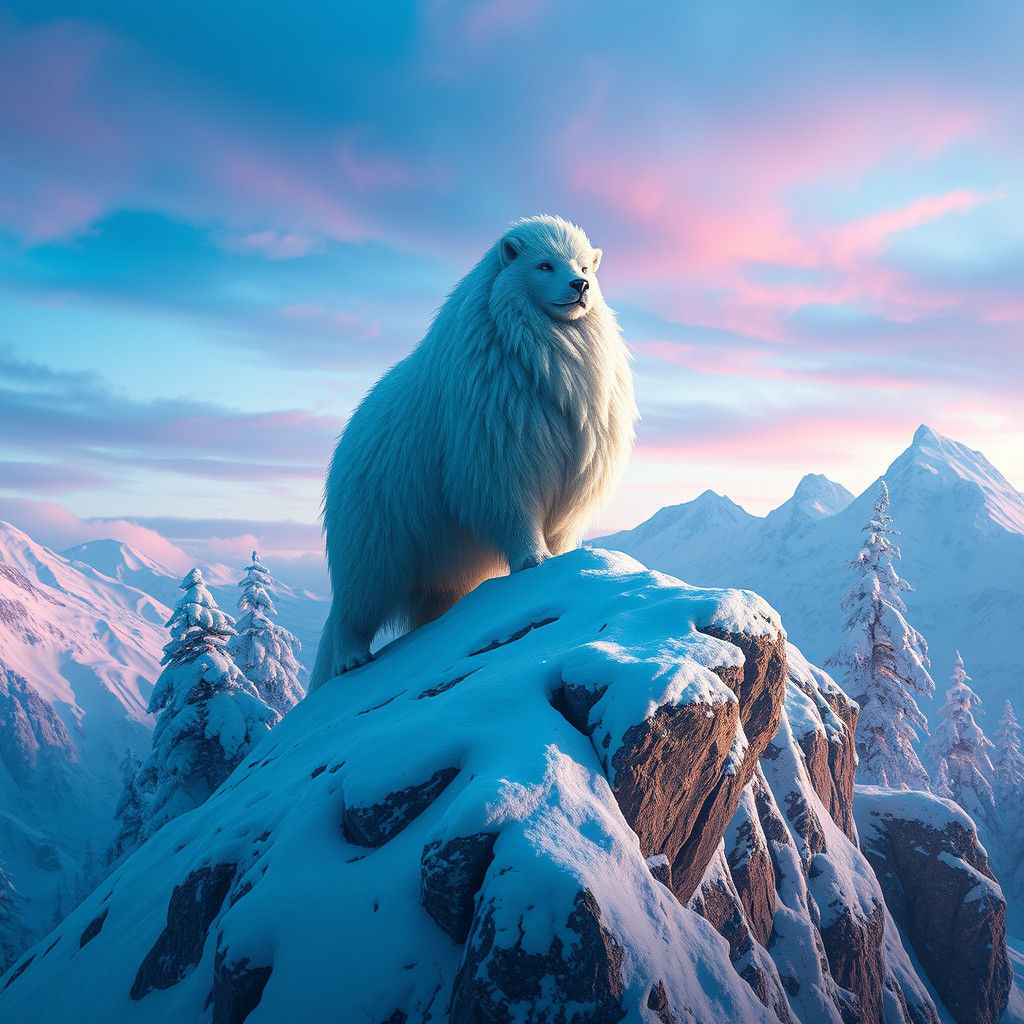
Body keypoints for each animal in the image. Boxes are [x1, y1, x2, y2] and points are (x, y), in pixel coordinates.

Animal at [308, 215, 637, 690]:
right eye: (544, 264)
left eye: (584, 266)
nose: (580, 286)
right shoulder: (492, 451)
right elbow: (511, 507)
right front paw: (534, 560)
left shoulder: (575, 469)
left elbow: (561, 525)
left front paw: (561, 559)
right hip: (377, 529)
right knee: (357, 600)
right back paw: (351, 659)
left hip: (441, 559)